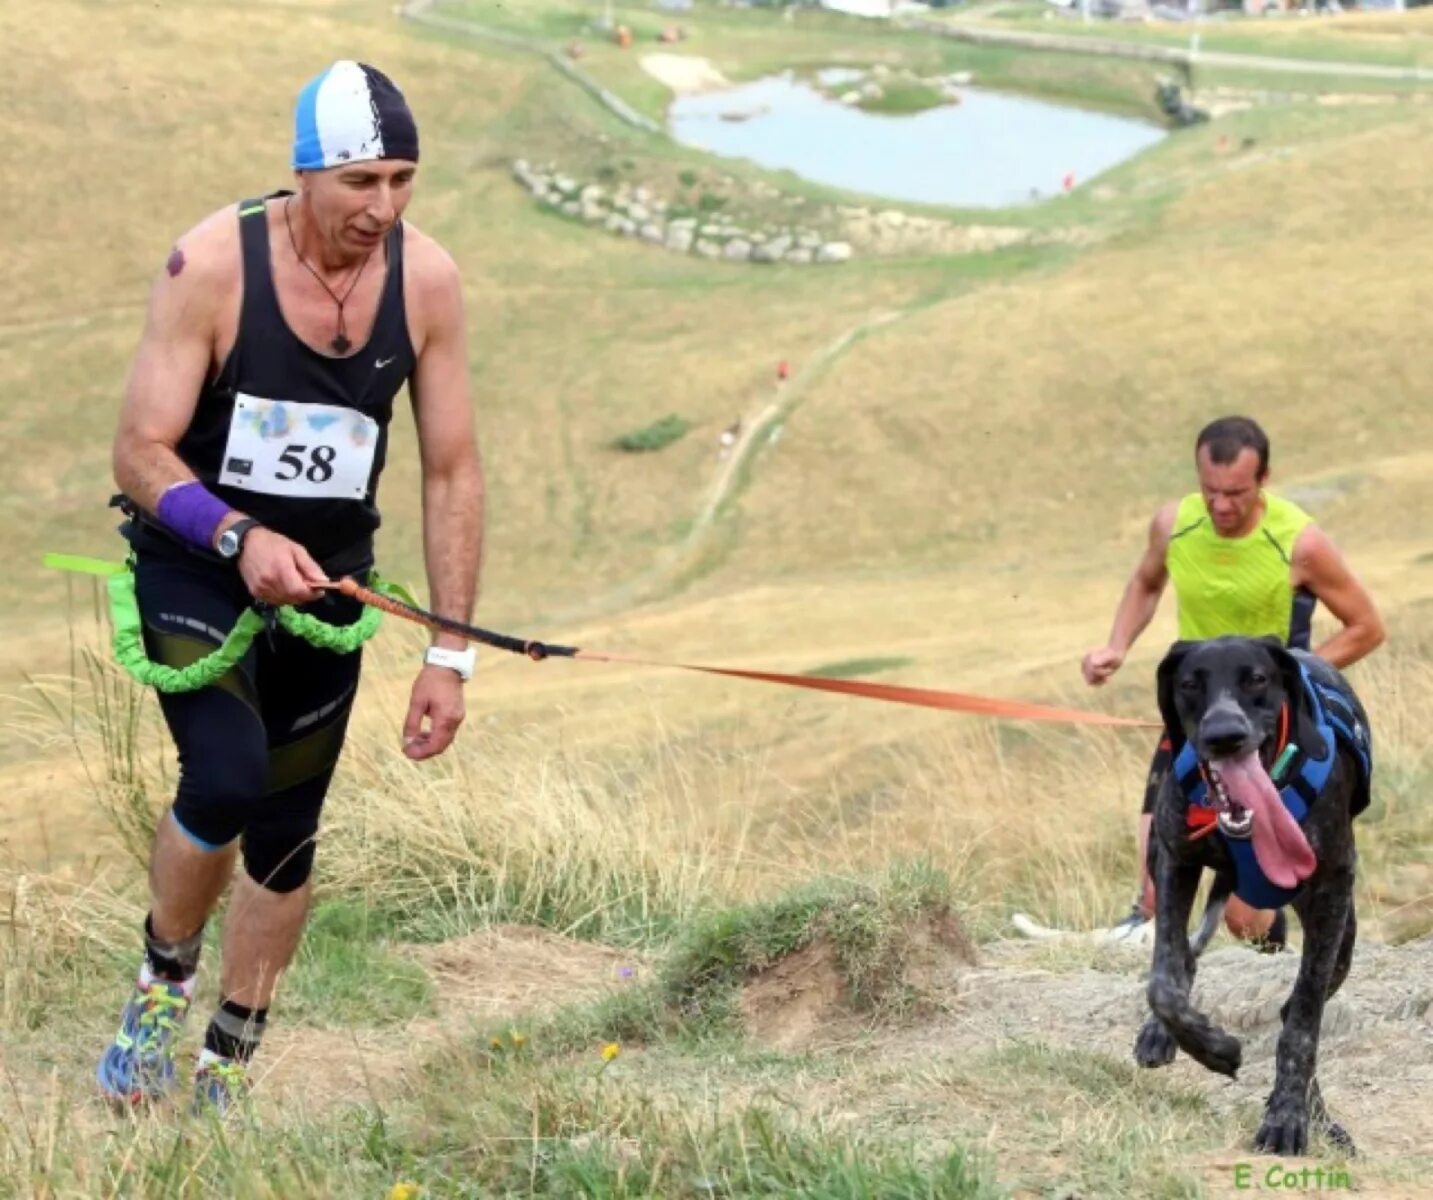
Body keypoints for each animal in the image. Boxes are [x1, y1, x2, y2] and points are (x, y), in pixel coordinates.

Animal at [1134, 636, 1369, 1152]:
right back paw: (1162, 1034)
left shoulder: (1332, 889)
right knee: (1186, 958)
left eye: (1257, 679)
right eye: (1189, 684)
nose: (1225, 735)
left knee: (1294, 1007)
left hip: (1341, 938)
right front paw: (1211, 1046)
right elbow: (1165, 979)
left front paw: (1288, 1116)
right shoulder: (1174, 860)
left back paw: (1316, 1114)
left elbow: (1303, 1021)